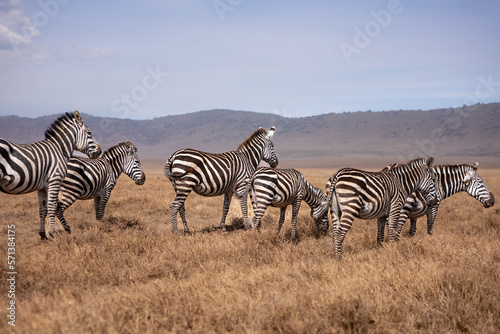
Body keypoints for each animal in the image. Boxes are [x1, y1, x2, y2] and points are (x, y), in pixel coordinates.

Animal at [0, 111, 101, 239]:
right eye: (89, 132)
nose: (100, 151)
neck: (59, 149)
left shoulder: (42, 187)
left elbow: (43, 210)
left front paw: (43, 235)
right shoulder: (54, 180)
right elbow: (52, 207)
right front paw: (52, 233)